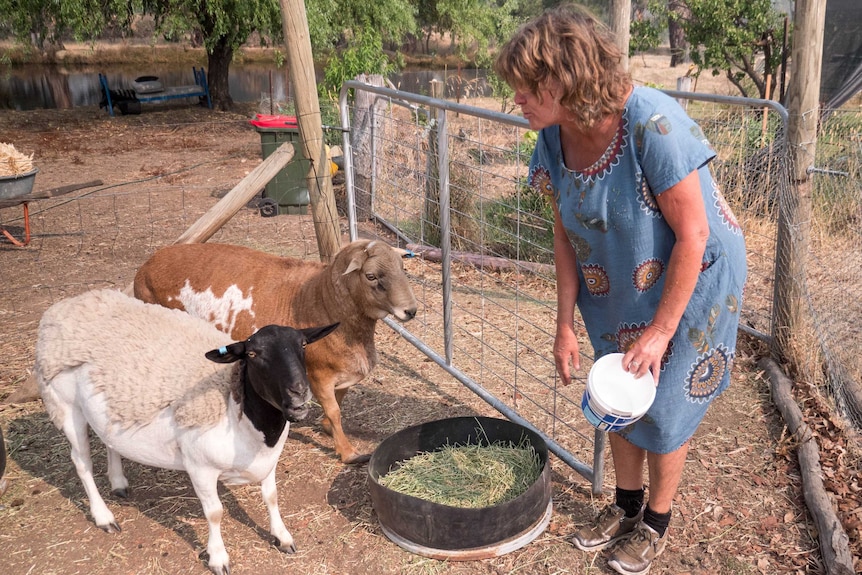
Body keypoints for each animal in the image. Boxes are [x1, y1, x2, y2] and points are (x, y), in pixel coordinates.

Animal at [38, 290, 340, 575]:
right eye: (253, 354)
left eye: (303, 345)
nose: (299, 392)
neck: (236, 406)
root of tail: (68, 305)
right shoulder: (200, 467)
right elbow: (215, 513)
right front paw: (218, 558)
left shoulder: (269, 461)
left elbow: (272, 497)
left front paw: (282, 537)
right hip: (66, 406)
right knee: (82, 463)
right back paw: (103, 516)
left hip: (111, 410)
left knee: (109, 441)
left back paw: (119, 483)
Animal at [133, 238, 420, 464]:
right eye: (371, 276)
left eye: (402, 269)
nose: (410, 310)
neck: (321, 299)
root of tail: (145, 268)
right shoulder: (318, 375)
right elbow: (334, 411)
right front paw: (348, 453)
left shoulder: (340, 374)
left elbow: (337, 404)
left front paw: (327, 429)